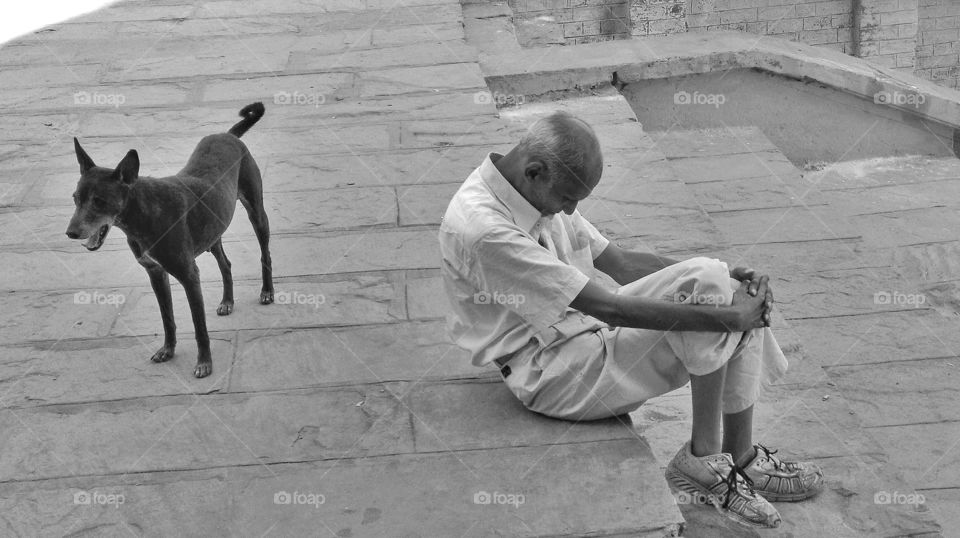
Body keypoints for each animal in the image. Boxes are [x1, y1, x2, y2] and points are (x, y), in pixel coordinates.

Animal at [66, 101, 274, 376]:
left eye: (100, 201)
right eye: (75, 198)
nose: (71, 232)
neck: (142, 215)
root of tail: (228, 135)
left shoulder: (189, 276)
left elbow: (199, 326)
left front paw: (204, 363)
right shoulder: (155, 273)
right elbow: (168, 319)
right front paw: (168, 350)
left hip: (256, 212)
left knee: (265, 253)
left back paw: (267, 291)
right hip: (213, 229)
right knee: (225, 264)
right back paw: (227, 301)